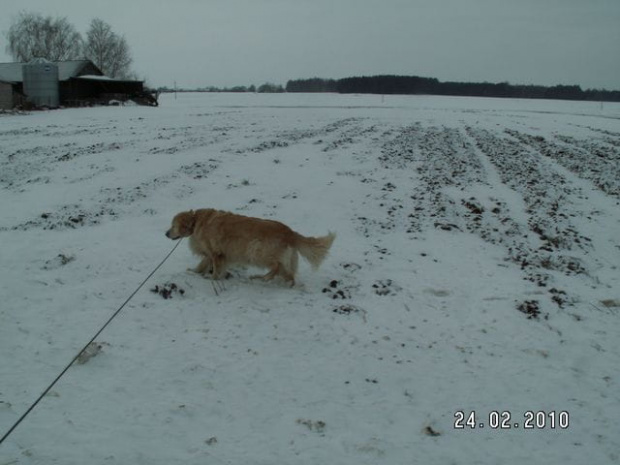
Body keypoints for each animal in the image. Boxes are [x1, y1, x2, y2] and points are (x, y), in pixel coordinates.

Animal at [166, 208, 334, 284]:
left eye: (173, 226)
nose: (166, 233)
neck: (195, 222)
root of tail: (289, 232)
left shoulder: (216, 253)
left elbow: (215, 268)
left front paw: (212, 278)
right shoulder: (212, 253)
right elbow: (202, 264)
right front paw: (195, 272)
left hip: (257, 250)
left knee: (277, 266)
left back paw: (262, 277)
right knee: (288, 273)